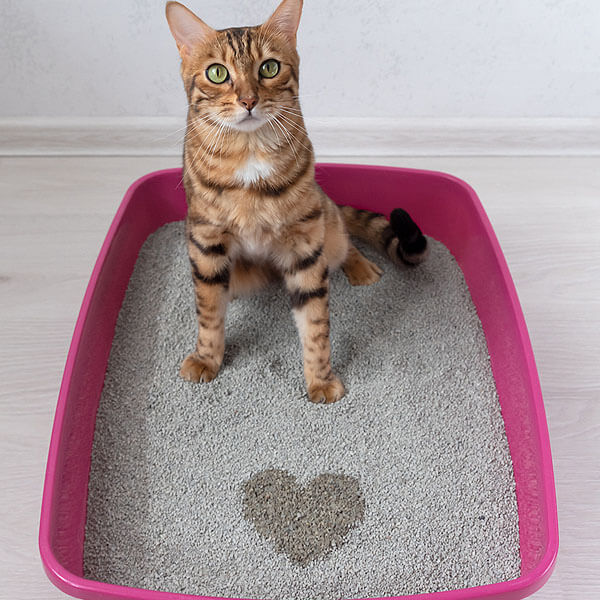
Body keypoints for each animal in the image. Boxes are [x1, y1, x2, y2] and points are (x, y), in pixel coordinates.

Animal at [164, 0, 426, 406]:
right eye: (217, 73)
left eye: (269, 67)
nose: (248, 101)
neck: (249, 151)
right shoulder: (206, 242)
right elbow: (208, 313)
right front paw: (207, 359)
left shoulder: (304, 243)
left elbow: (315, 323)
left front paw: (320, 379)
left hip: (323, 224)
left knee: (342, 239)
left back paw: (360, 267)